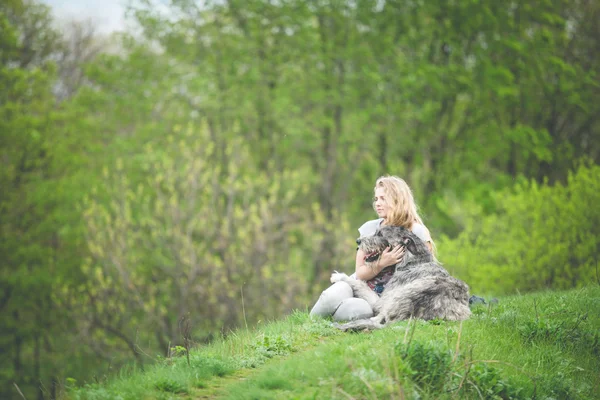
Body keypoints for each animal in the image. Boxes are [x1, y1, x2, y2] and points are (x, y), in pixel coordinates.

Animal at [330, 227, 472, 330]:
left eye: (380, 234)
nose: (358, 241)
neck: (413, 262)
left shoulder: (380, 300)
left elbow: (360, 284)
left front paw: (339, 276)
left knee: (378, 318)